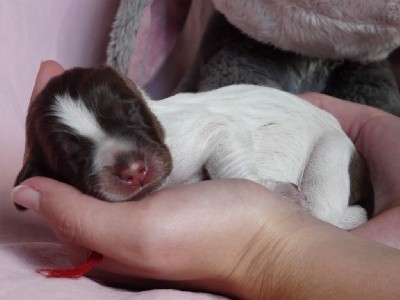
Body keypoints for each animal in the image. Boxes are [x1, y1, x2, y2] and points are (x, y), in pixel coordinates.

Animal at [14, 66, 372, 230]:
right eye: (70, 156)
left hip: (331, 153)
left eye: (130, 112)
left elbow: (228, 167)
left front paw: (278, 193)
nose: (134, 171)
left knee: (329, 212)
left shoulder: (213, 130)